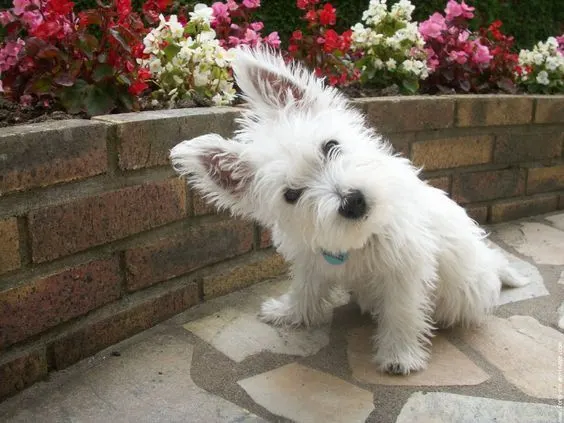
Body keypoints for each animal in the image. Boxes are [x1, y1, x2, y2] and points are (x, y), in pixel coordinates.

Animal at [170, 48, 528, 376]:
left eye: (330, 146)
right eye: (291, 195)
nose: (352, 201)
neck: (362, 237)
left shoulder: (406, 269)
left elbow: (402, 311)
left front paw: (399, 356)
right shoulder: (312, 262)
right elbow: (305, 289)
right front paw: (289, 313)